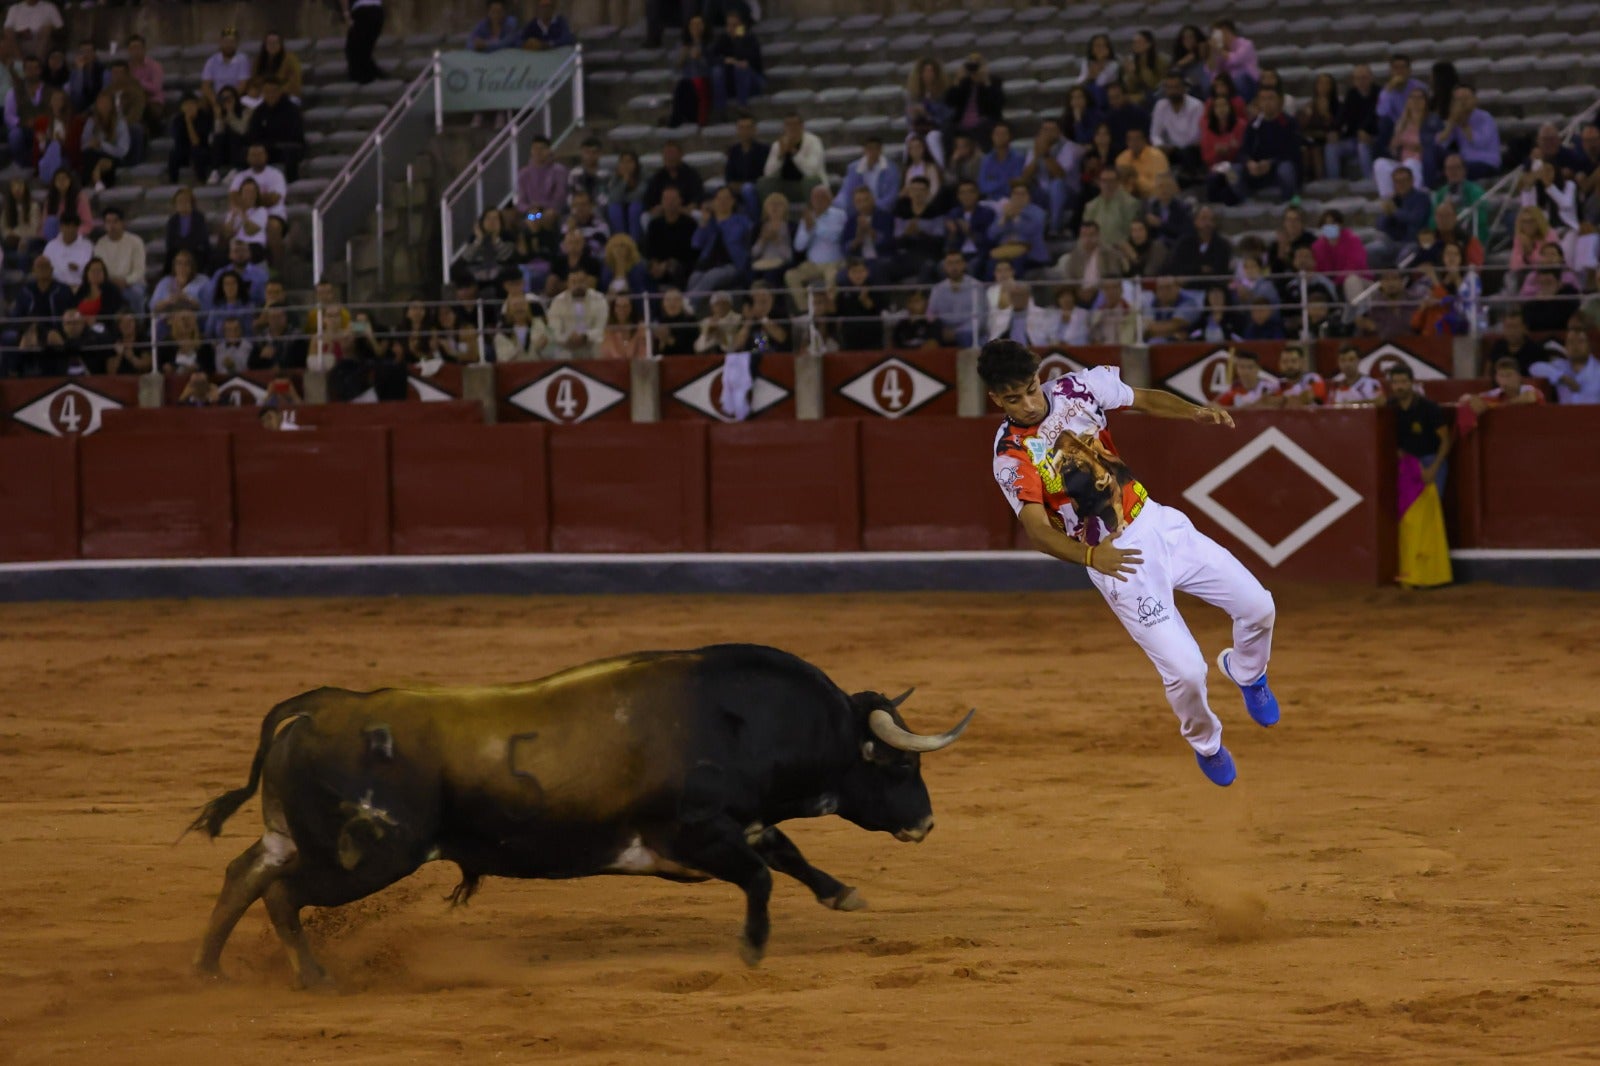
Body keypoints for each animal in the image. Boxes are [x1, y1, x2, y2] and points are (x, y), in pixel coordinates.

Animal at [193, 640, 979, 985]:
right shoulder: (698, 833)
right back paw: (312, 977)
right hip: (370, 856)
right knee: (283, 894)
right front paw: (754, 947)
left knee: (244, 874)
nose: (926, 824)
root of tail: (314, 708)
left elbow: (786, 854)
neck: (742, 721)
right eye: (901, 766)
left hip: (300, 838)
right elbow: (761, 873)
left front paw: (843, 894)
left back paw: (206, 971)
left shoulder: (741, 822)